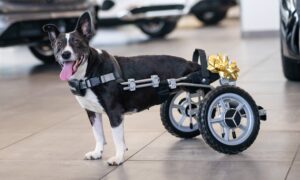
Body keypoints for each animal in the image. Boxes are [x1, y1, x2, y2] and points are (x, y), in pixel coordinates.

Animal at [43, 11, 209, 166]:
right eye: (58, 45)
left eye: (77, 42)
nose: (65, 54)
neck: (90, 72)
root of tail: (192, 64)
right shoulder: (92, 112)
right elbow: (98, 134)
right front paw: (97, 152)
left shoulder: (114, 112)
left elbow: (116, 138)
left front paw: (118, 158)